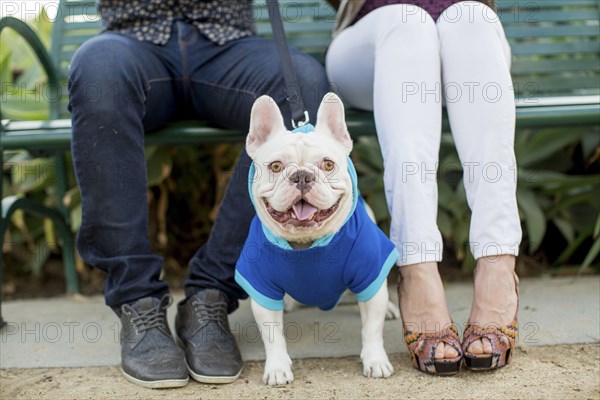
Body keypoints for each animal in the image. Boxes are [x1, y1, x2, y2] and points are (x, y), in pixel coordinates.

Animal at [234, 93, 398, 384]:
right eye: (276, 166)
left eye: (328, 164)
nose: (302, 175)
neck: (306, 243)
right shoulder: (261, 286)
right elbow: (272, 335)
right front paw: (277, 368)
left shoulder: (370, 272)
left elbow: (371, 328)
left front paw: (376, 360)